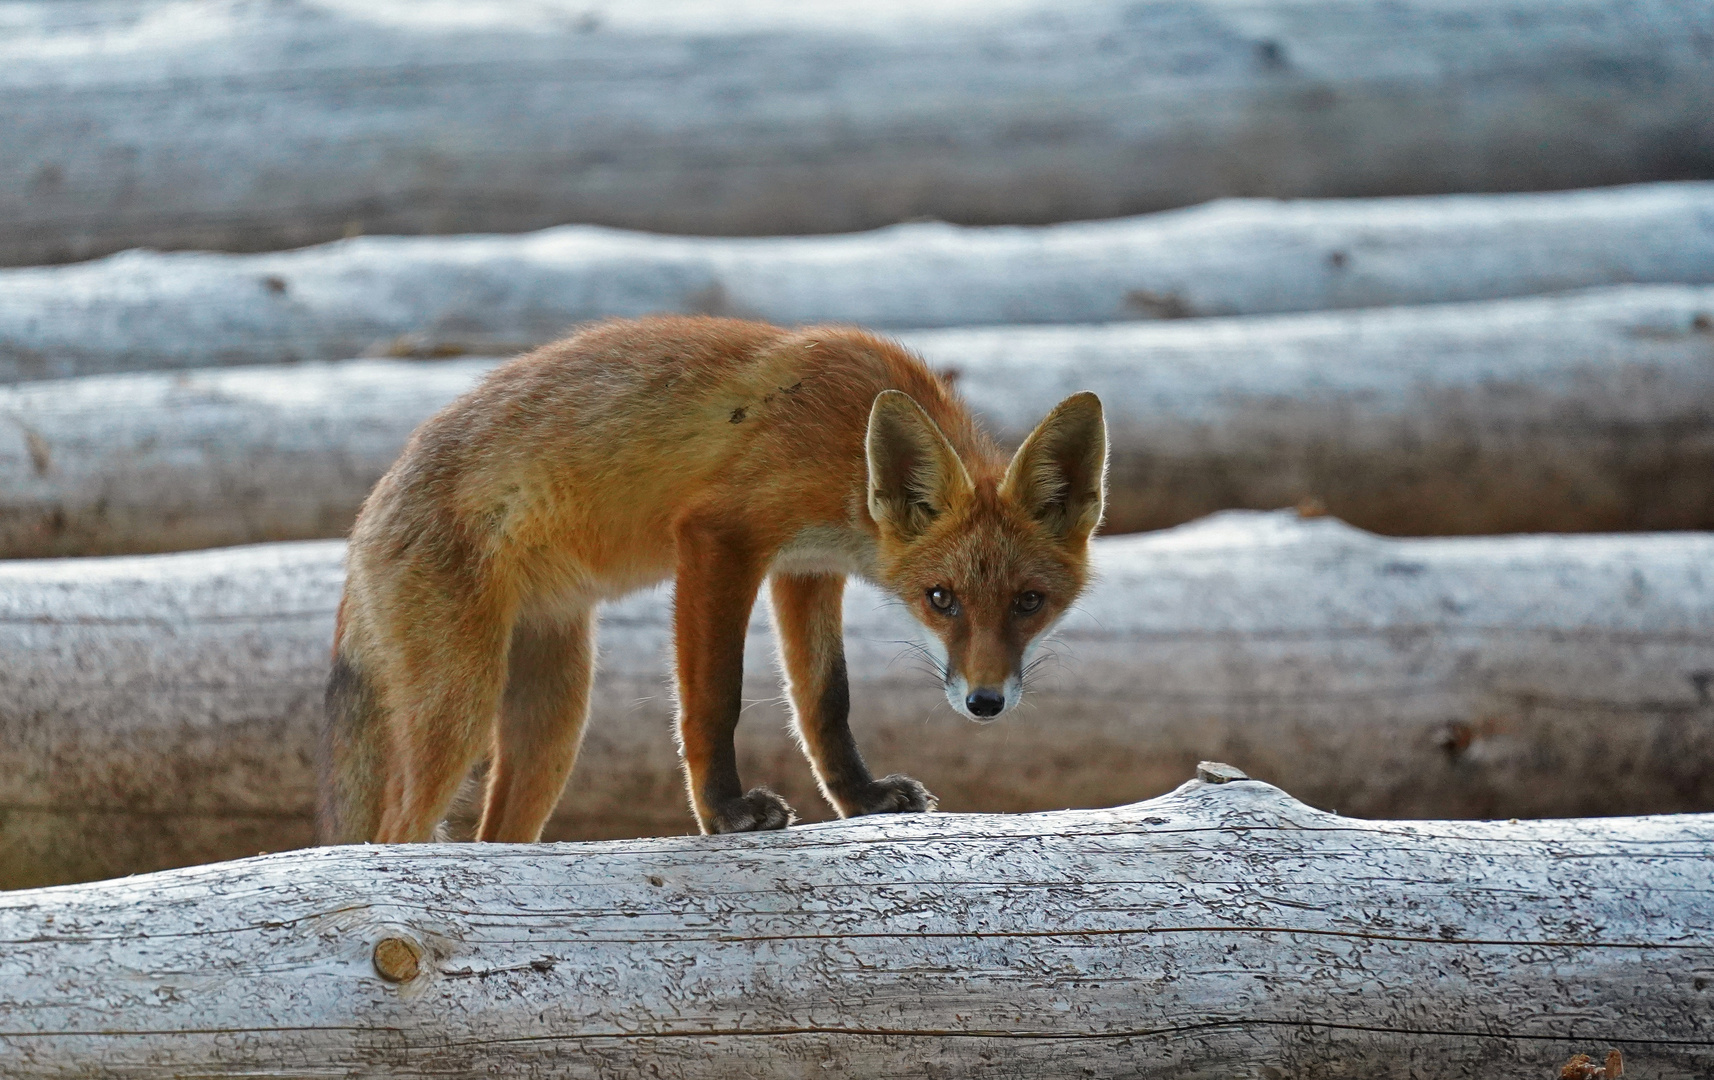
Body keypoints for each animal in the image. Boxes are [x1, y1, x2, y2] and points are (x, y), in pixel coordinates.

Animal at [315, 317, 1103, 843]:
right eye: (941, 599)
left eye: (1030, 602)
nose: (984, 702)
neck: (848, 445)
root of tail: (364, 519)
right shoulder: (718, 537)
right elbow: (715, 699)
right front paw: (723, 812)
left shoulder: (806, 567)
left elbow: (824, 702)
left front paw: (859, 799)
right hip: (463, 706)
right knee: (392, 835)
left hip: (556, 715)